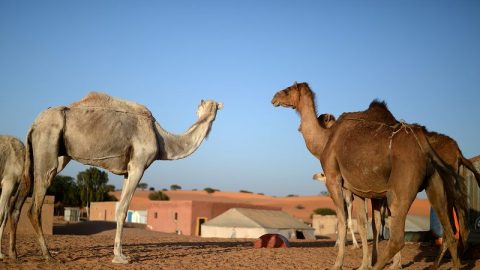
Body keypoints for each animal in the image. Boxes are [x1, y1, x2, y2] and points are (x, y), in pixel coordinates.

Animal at [24, 93, 223, 264]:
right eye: (203, 106)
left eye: (212, 107)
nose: (208, 112)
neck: (162, 140)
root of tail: (33, 124)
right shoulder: (138, 165)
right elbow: (122, 208)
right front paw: (119, 256)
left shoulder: (128, 170)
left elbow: (120, 206)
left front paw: (119, 253)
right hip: (47, 141)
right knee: (36, 200)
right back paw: (48, 255)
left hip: (59, 154)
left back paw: (17, 255)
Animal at [272, 83, 466, 270]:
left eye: (288, 89)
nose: (274, 97)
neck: (325, 140)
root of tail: (424, 143)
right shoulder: (361, 189)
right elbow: (367, 224)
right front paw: (365, 263)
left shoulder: (334, 179)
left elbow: (344, 221)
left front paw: (339, 264)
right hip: (435, 182)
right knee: (448, 230)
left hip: (402, 185)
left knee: (398, 237)